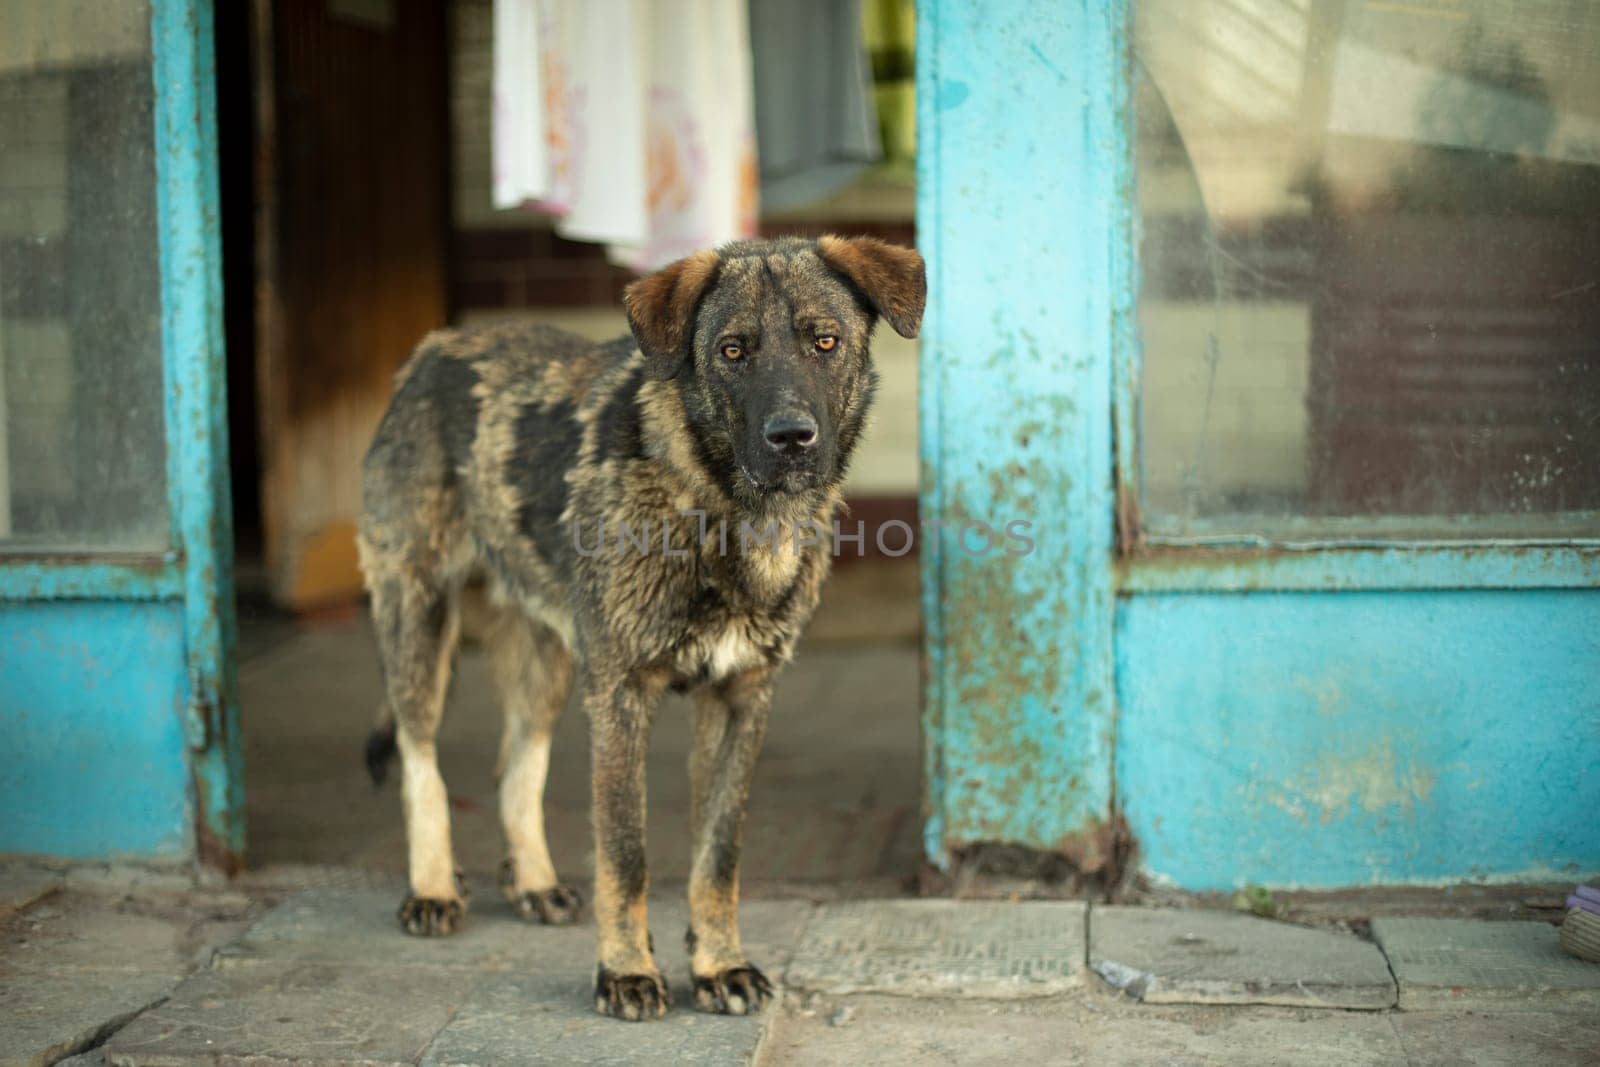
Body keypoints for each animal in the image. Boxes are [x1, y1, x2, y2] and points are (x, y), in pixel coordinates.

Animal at [355, 238, 921, 1023]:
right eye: (733, 350)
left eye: (825, 342)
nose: (792, 439)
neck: (717, 510)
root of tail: (432, 351)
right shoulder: (622, 697)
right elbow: (625, 854)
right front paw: (625, 971)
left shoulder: (740, 701)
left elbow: (718, 854)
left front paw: (718, 964)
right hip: (419, 621)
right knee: (420, 758)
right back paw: (434, 887)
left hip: (550, 661)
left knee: (517, 765)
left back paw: (532, 880)